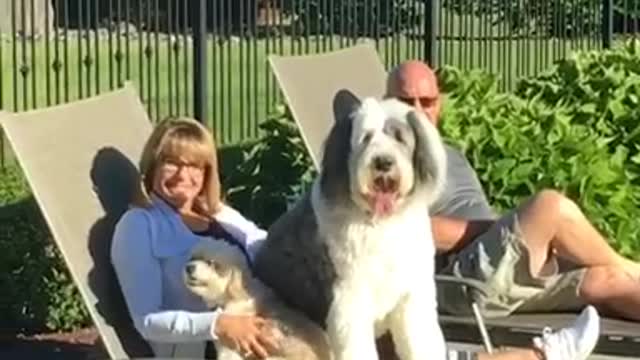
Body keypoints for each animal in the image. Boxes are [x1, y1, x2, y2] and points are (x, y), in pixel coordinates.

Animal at [255, 90, 450, 360]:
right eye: (366, 138)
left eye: (399, 137)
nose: (383, 162)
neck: (382, 224)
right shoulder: (349, 302)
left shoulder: (412, 297)